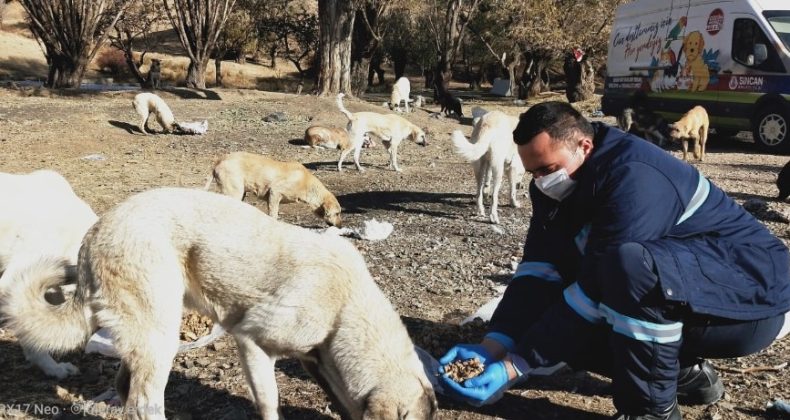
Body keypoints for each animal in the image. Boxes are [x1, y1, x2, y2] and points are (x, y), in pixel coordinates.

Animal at [206, 151, 342, 226]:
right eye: (337, 213)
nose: (341, 226)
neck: (307, 183)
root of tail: (219, 161)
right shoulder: (275, 192)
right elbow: (273, 215)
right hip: (235, 192)